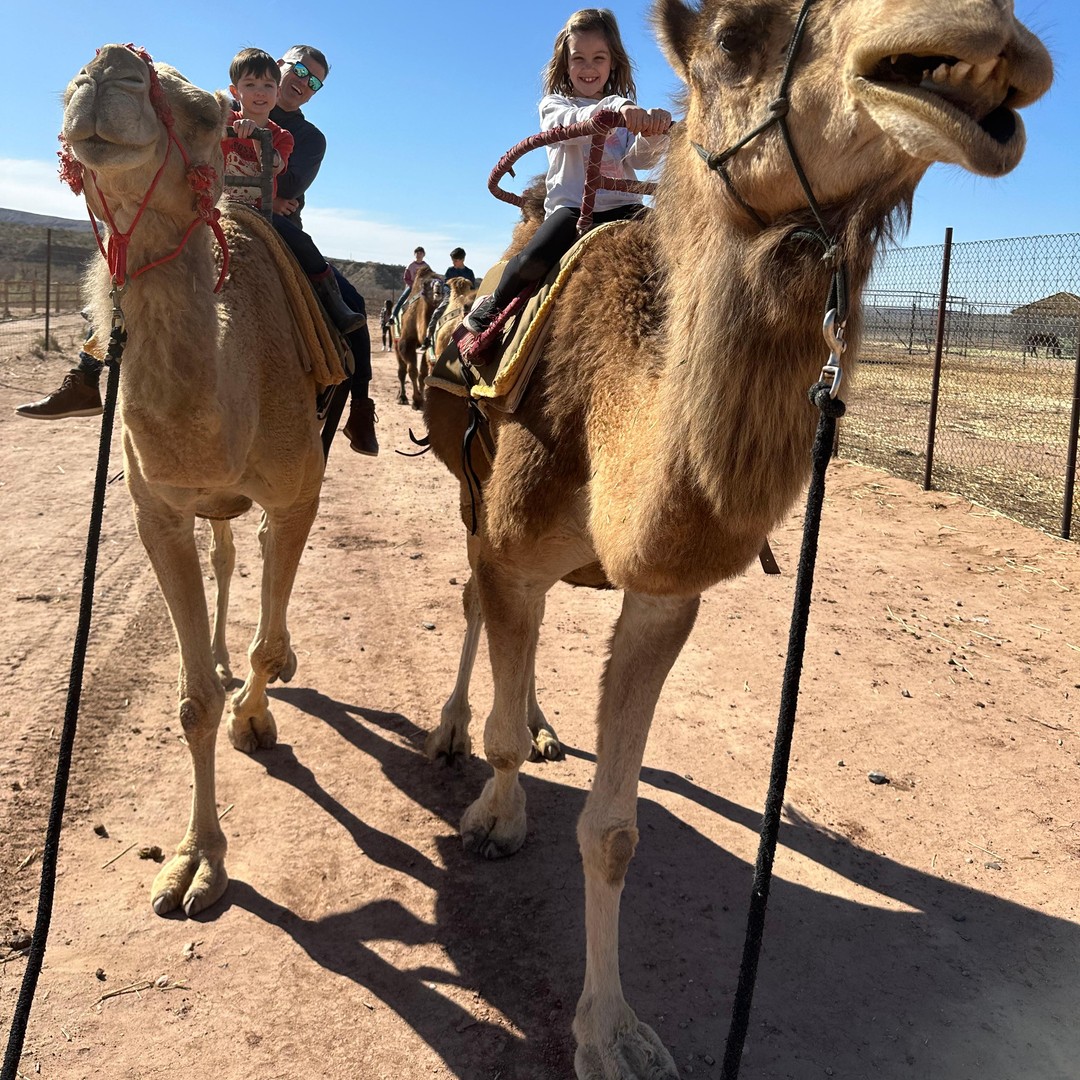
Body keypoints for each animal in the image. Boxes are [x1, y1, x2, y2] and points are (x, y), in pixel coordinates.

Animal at [61, 45, 335, 916]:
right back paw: (216, 653)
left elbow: (264, 636)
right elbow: (190, 704)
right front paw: (194, 862)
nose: (106, 69)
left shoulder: (299, 492)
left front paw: (257, 716)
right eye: (71, 81)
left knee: (259, 556)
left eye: (211, 115)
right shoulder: (158, 513)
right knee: (226, 552)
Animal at [395, 266, 440, 408]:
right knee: (402, 370)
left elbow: (423, 374)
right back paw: (402, 397)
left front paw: (422, 399)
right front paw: (416, 400)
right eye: (426, 285)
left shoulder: (428, 345)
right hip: (395, 341)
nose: (438, 288)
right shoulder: (406, 342)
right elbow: (412, 371)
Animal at [422, 1, 1051, 1075]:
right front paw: (495, 818)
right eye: (727, 37)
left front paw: (612, 1032)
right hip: (469, 493)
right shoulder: (511, 542)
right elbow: (497, 645)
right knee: (472, 604)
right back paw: (456, 728)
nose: (987, 36)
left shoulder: (664, 596)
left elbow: (615, 832)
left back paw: (544, 724)